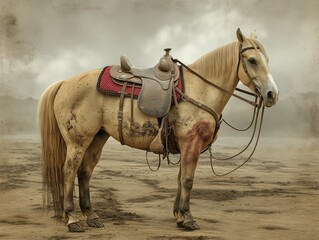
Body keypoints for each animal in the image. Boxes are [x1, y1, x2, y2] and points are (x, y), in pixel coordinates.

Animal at [38, 28, 280, 232]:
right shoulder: (191, 143)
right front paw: (188, 218)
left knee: (85, 171)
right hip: (77, 141)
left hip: (98, 137)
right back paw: (73, 219)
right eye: (252, 60)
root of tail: (64, 83)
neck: (200, 89)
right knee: (69, 171)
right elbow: (188, 180)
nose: (272, 94)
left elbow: (181, 178)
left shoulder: (186, 146)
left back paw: (92, 216)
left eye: (267, 60)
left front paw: (179, 216)